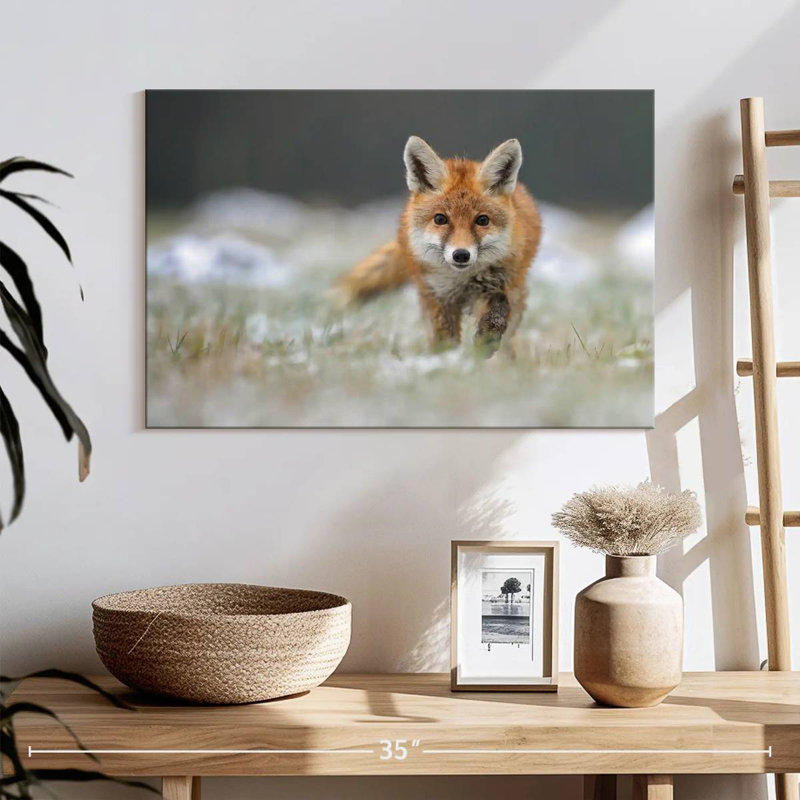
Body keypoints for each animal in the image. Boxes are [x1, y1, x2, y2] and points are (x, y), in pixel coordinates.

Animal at [339, 136, 542, 357]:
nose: (461, 255)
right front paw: (447, 359)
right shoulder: (438, 296)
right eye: (440, 219)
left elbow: (498, 311)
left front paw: (485, 342)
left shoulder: (499, 283)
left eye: (482, 220)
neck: (462, 281)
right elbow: (445, 339)